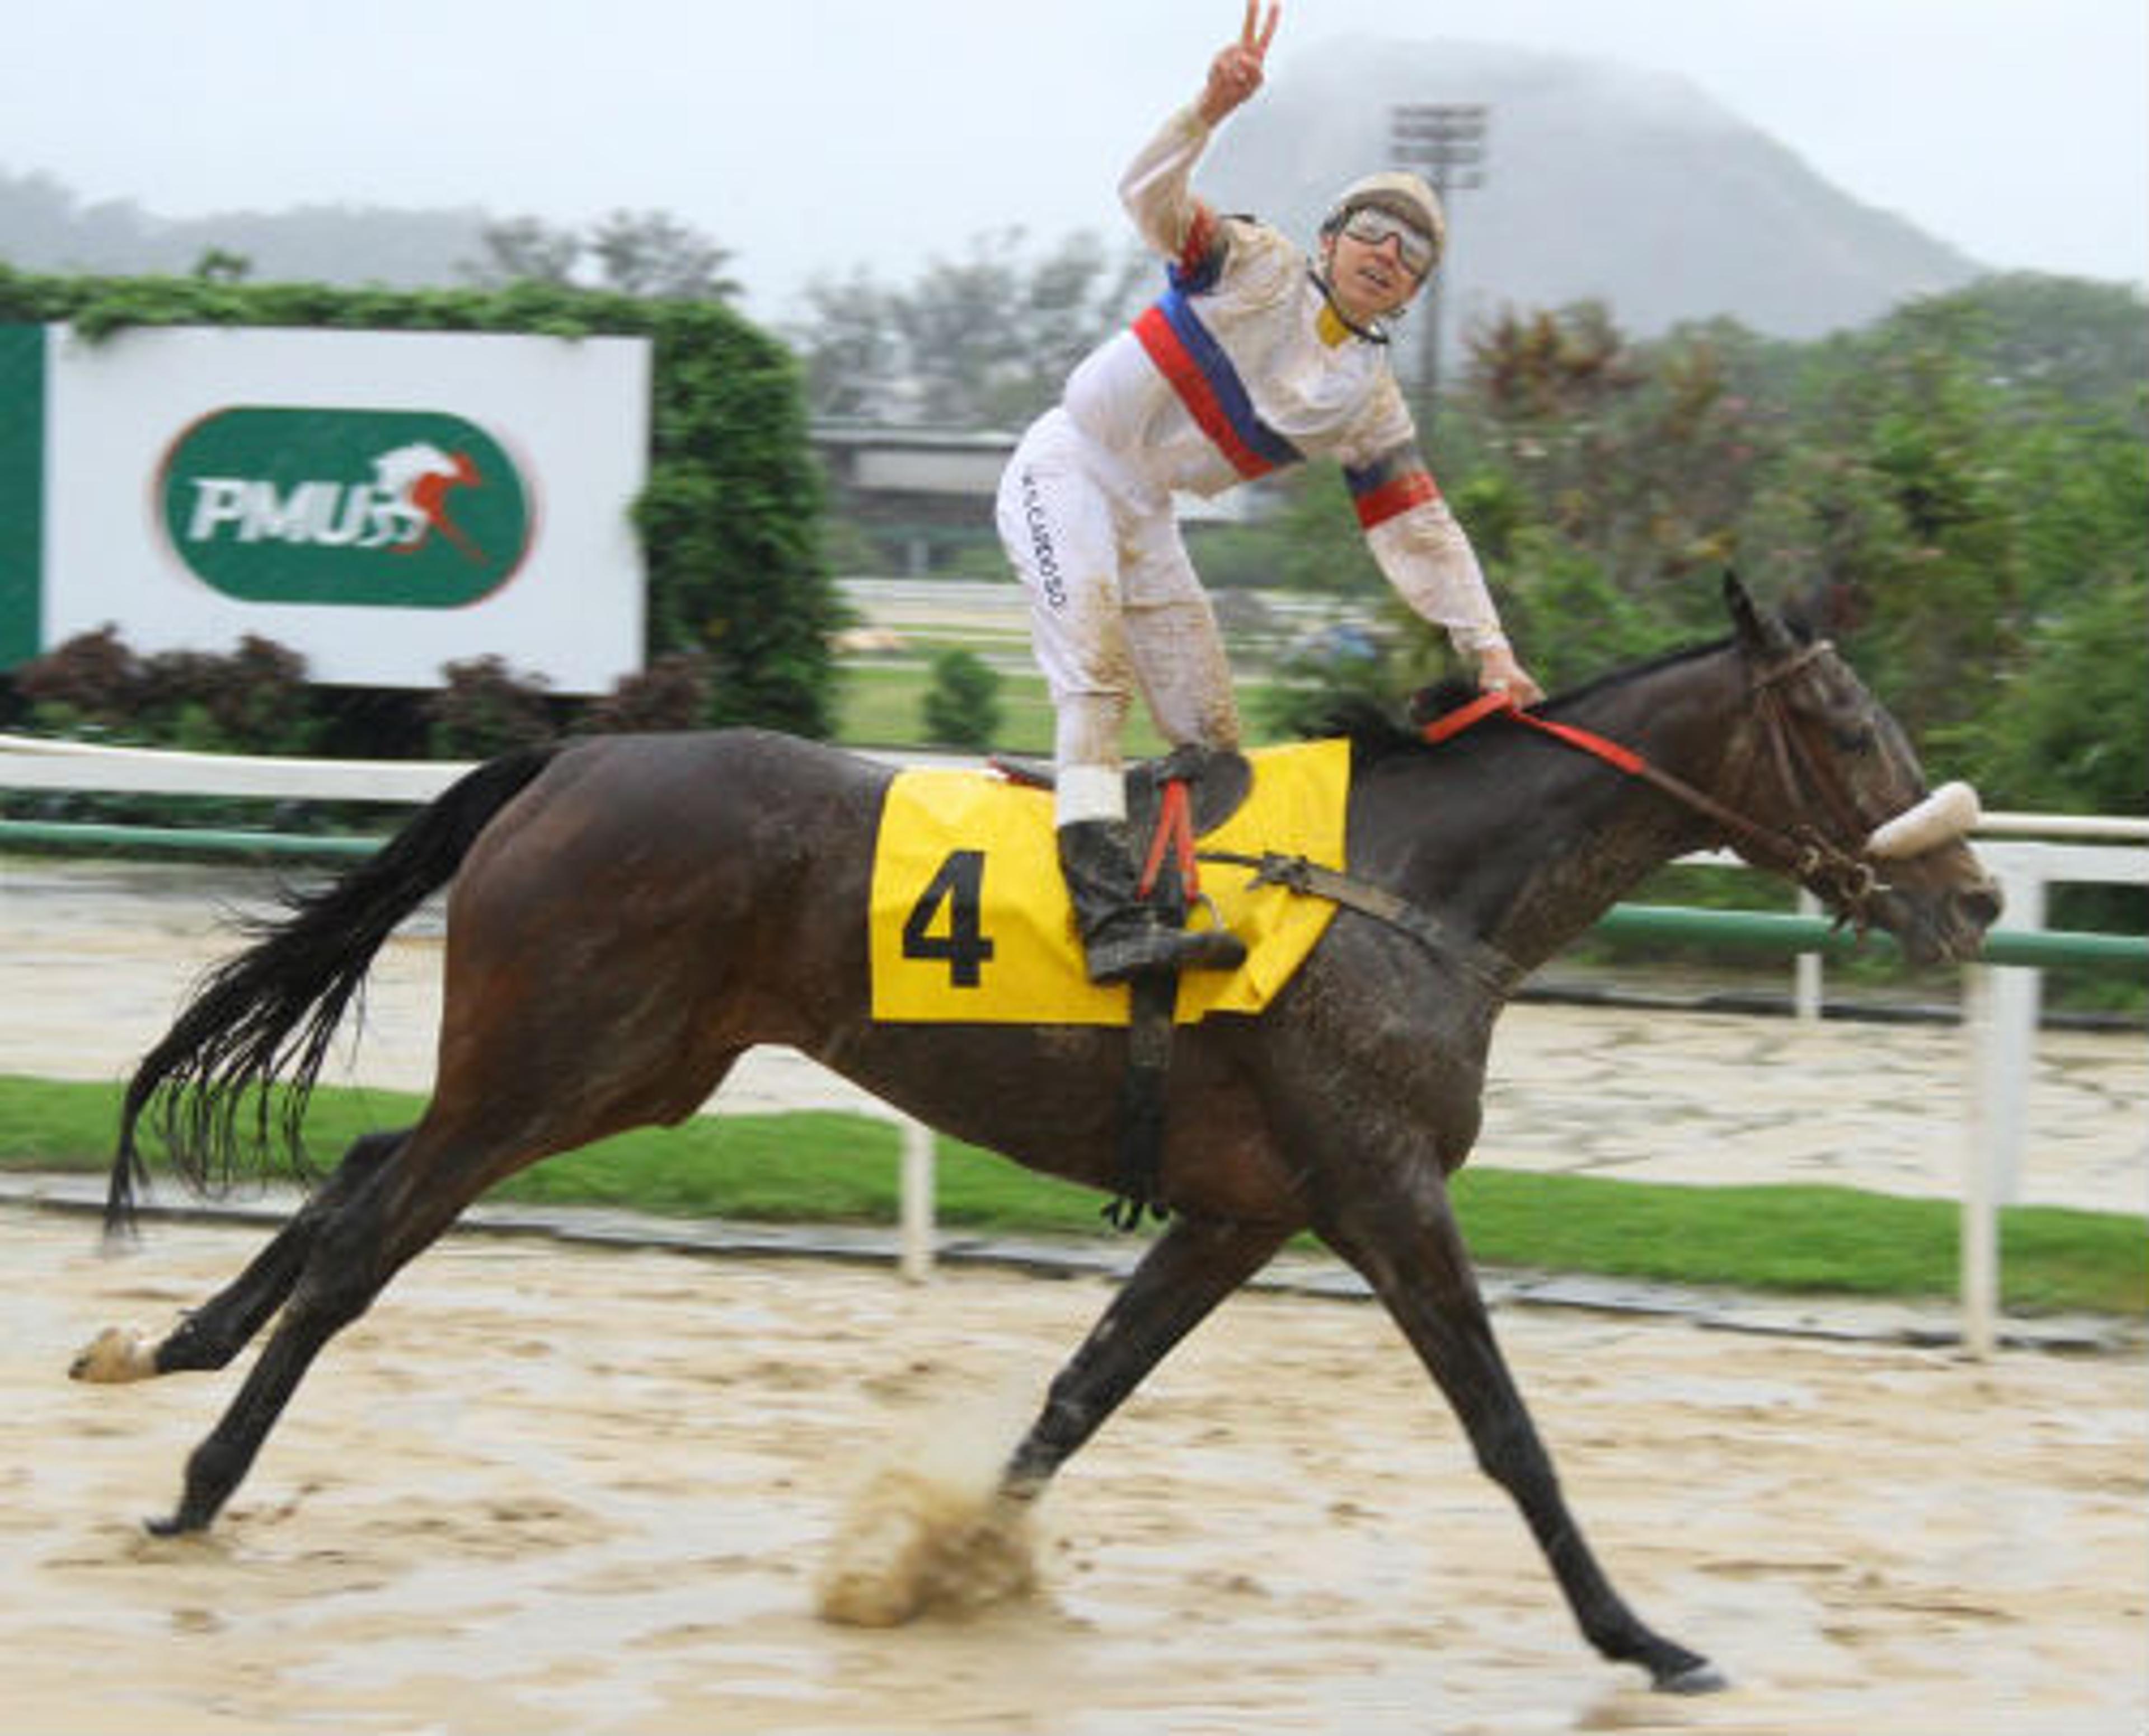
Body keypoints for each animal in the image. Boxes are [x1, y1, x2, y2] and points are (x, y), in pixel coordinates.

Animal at [76, 575, 2002, 1684]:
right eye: (1847, 726)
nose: (1977, 894)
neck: (1407, 885)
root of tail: (566, 759)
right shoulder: (1380, 1184)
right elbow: (1507, 1428)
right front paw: (1641, 1632)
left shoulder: (1245, 1209)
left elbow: (1081, 1393)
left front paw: (936, 1567)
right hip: (554, 1061)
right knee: (365, 1234)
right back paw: (200, 1475)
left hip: (626, 1070)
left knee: (358, 1172)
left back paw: (167, 1346)